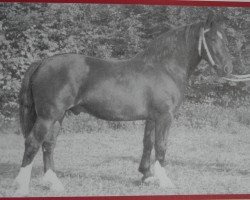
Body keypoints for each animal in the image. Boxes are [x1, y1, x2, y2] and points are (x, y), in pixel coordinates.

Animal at [13, 12, 233, 195]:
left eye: (225, 38)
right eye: (213, 39)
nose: (228, 68)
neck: (164, 68)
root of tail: (42, 62)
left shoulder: (152, 117)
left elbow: (148, 143)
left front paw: (147, 176)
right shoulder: (165, 117)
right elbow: (161, 146)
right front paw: (165, 181)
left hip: (58, 116)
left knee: (48, 145)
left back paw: (54, 184)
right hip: (47, 116)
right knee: (33, 143)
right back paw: (21, 187)